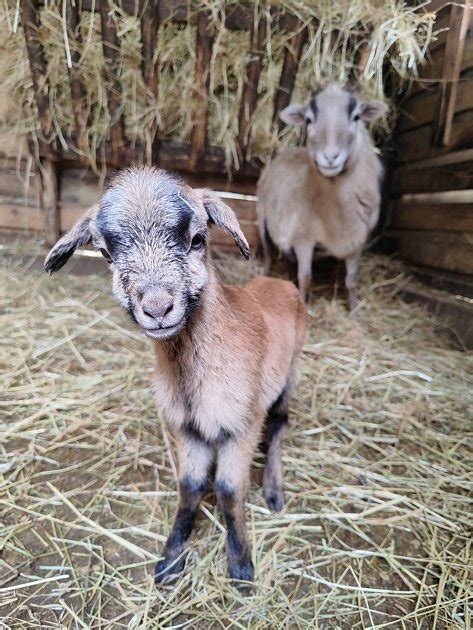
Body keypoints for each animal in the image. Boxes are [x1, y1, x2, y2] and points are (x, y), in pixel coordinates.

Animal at [45, 168, 306, 588]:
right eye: (105, 253)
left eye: (197, 239)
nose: (157, 308)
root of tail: (279, 282)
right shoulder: (187, 427)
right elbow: (190, 486)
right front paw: (170, 559)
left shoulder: (242, 424)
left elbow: (229, 489)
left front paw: (241, 565)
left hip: (290, 374)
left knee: (280, 424)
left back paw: (274, 490)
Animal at [256, 84, 386, 312]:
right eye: (309, 120)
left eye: (356, 116)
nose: (330, 158)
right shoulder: (303, 238)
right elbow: (306, 278)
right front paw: (304, 308)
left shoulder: (357, 241)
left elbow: (352, 280)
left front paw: (354, 311)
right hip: (262, 219)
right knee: (268, 257)